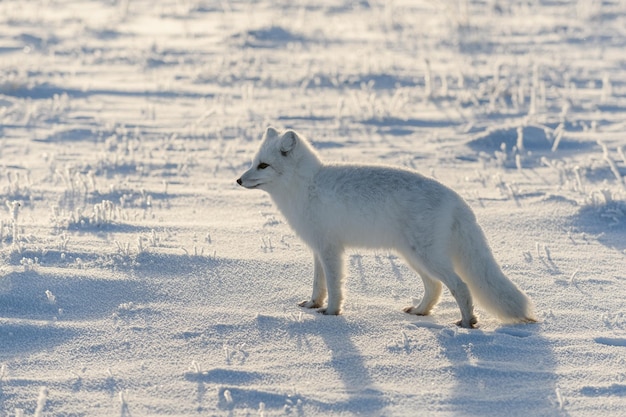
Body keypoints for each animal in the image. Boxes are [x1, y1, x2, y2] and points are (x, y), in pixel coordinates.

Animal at [236, 125, 532, 326]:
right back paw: (420, 311)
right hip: (413, 256)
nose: (238, 180)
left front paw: (331, 313)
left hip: (425, 256)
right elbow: (318, 285)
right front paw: (311, 305)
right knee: (435, 287)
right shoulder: (318, 248)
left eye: (263, 165)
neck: (307, 185)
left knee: (460, 286)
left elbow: (334, 286)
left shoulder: (331, 249)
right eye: (253, 163)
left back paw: (467, 323)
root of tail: (456, 198)